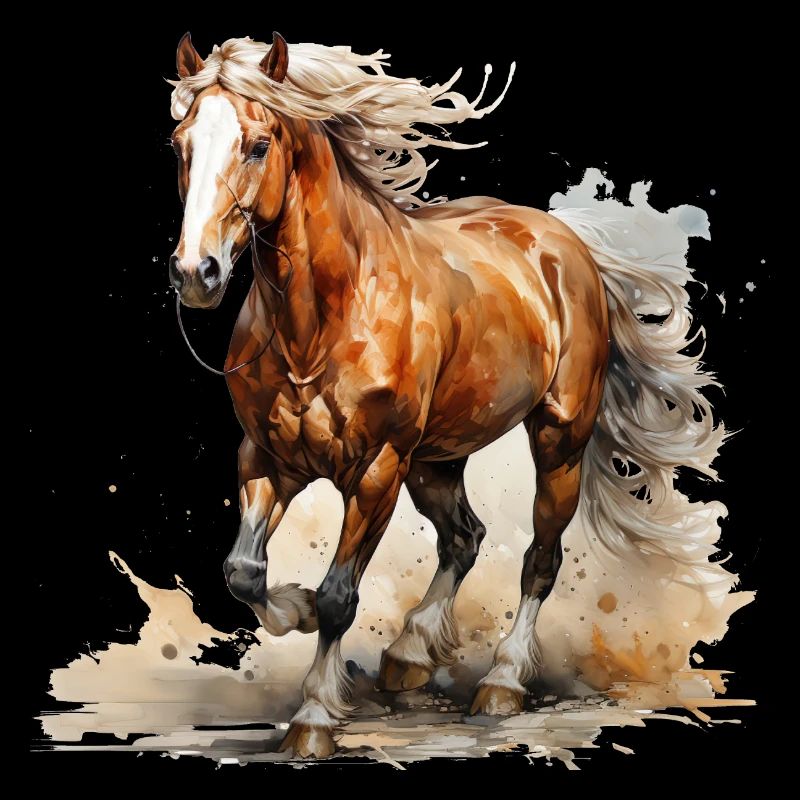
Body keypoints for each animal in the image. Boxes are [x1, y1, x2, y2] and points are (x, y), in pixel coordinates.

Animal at [166, 33, 726, 758]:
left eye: (258, 145)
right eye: (180, 144)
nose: (195, 273)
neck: (324, 319)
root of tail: (566, 243)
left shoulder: (375, 471)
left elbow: (339, 596)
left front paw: (314, 716)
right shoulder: (266, 459)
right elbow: (243, 571)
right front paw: (294, 611)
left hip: (557, 442)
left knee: (539, 558)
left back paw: (503, 682)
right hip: (435, 461)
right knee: (465, 536)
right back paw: (408, 653)